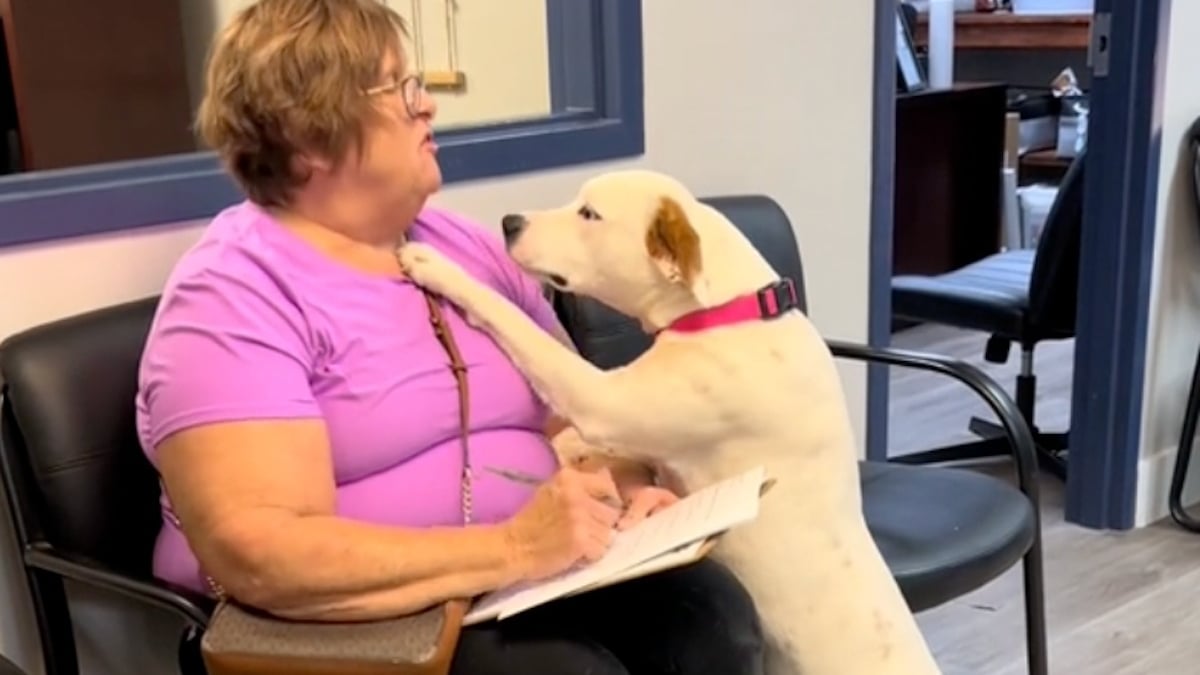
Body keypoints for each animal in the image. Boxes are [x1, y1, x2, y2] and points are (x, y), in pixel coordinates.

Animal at [398, 169, 940, 672]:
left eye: (589, 214)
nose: (510, 222)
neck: (731, 312)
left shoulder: (601, 399)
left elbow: (520, 328)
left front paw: (437, 266)